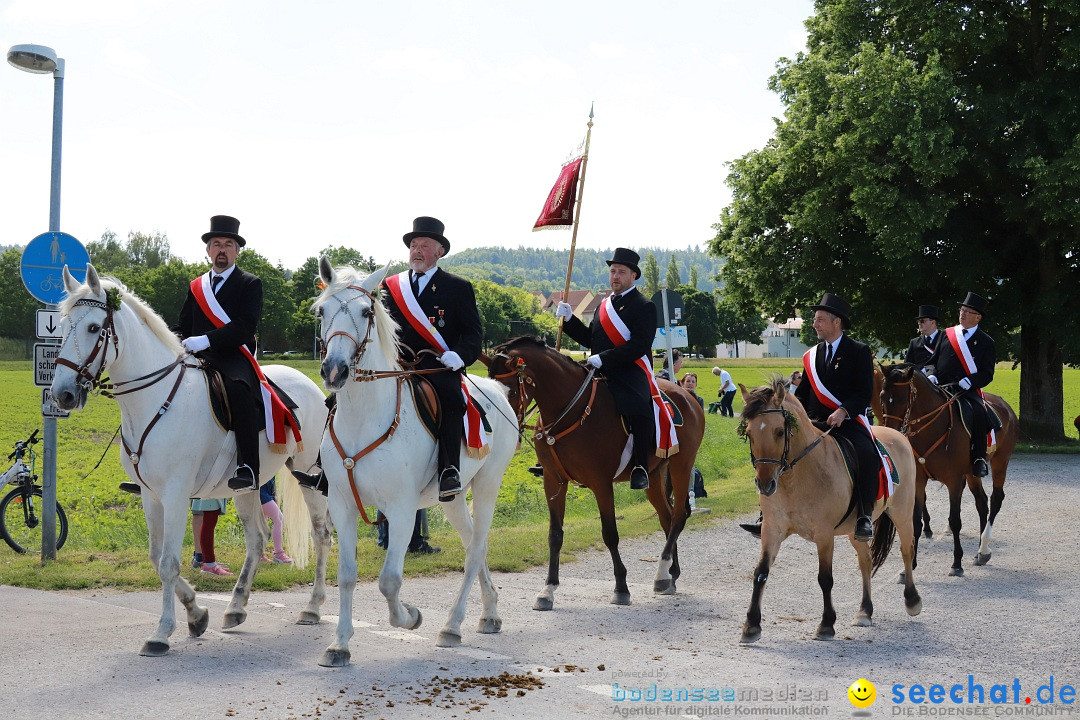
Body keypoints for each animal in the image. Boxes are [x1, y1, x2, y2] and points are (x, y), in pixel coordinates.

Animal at [49, 266, 332, 660]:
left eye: (93, 327)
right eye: (61, 327)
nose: (62, 394)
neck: (152, 400)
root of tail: (310, 384)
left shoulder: (176, 494)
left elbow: (168, 562)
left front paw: (162, 632)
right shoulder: (150, 496)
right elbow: (156, 558)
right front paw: (197, 614)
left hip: (309, 475)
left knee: (321, 536)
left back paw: (313, 607)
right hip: (249, 484)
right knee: (257, 539)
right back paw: (236, 608)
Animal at [313, 257, 518, 664]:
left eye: (365, 312)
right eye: (322, 311)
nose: (334, 370)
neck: (364, 416)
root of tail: (498, 390)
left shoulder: (402, 508)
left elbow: (389, 581)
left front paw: (409, 617)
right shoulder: (342, 504)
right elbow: (346, 575)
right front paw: (340, 643)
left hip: (488, 484)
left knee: (476, 549)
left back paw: (452, 626)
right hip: (452, 498)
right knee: (473, 544)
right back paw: (489, 612)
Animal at [490, 338, 708, 613]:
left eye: (509, 392)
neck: (570, 410)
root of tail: (687, 396)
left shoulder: (601, 483)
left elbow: (610, 534)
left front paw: (621, 588)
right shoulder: (553, 481)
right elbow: (555, 535)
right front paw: (548, 590)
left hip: (682, 464)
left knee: (679, 514)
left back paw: (661, 573)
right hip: (655, 475)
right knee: (667, 518)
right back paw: (671, 574)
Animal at [738, 377, 924, 643]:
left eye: (780, 431)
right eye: (749, 433)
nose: (765, 484)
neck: (796, 477)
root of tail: (898, 435)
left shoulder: (824, 534)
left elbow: (825, 578)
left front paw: (826, 624)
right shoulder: (772, 530)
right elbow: (761, 572)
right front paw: (751, 625)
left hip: (902, 512)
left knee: (907, 550)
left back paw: (912, 600)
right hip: (856, 529)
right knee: (866, 560)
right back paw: (864, 611)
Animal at [872, 362, 1015, 578]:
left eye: (903, 398)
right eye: (882, 396)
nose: (891, 431)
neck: (931, 429)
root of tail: (1005, 406)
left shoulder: (954, 481)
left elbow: (955, 520)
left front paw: (956, 563)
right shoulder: (919, 481)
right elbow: (916, 522)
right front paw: (910, 566)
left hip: (1000, 462)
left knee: (995, 499)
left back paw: (984, 547)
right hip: (972, 473)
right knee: (982, 503)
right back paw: (979, 553)